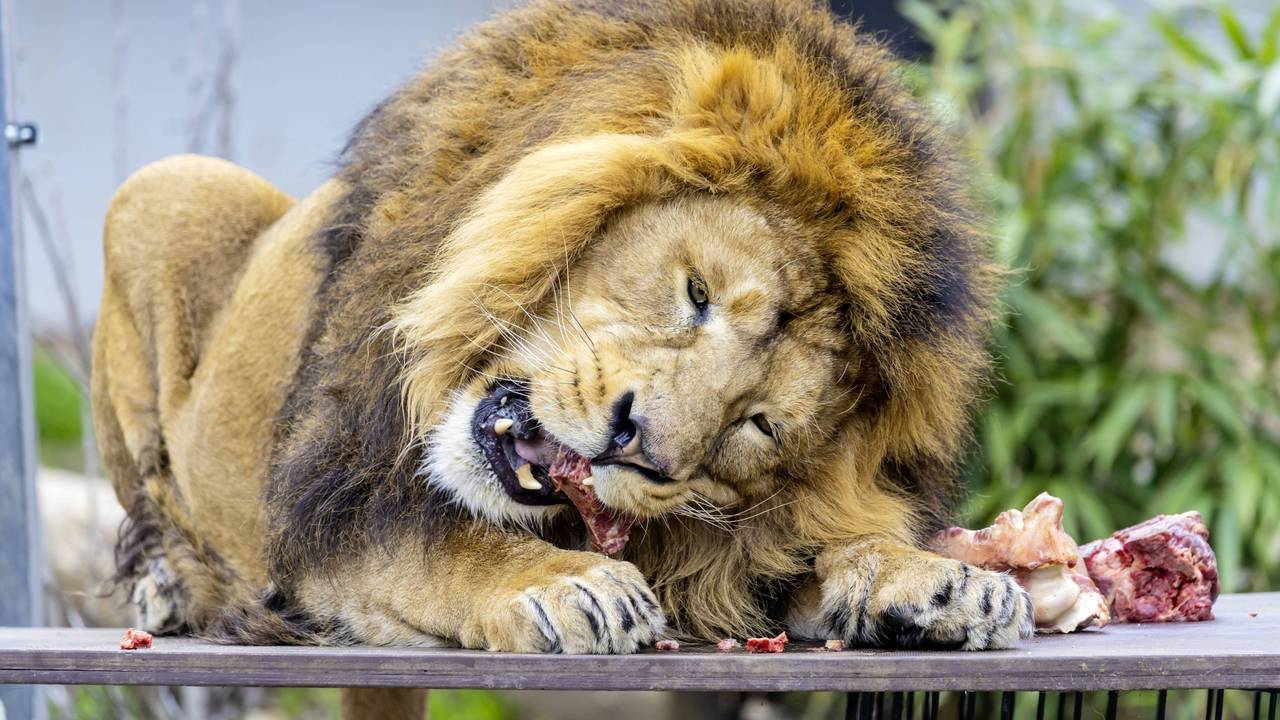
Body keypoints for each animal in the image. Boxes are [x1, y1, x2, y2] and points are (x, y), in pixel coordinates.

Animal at [93, 0, 1031, 706]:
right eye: (697, 292)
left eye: (756, 425)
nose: (637, 446)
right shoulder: (330, 508)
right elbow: (444, 548)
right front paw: (559, 586)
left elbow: (815, 552)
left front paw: (940, 581)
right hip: (165, 188)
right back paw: (171, 587)